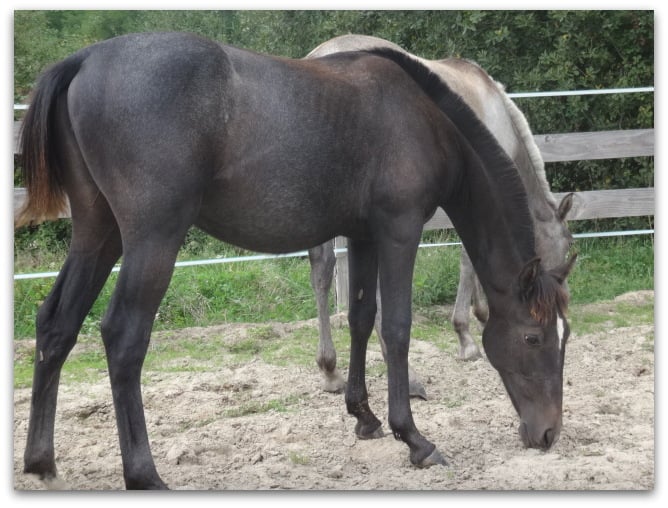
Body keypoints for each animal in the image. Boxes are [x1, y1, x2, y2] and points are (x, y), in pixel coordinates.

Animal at [304, 35, 574, 398]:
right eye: (564, 248)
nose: (560, 306)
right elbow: (469, 258)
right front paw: (465, 335)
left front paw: (482, 311)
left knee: (322, 267)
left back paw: (330, 369)